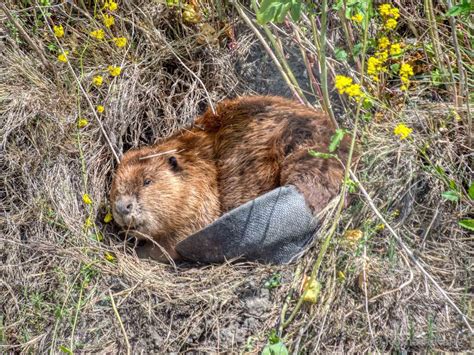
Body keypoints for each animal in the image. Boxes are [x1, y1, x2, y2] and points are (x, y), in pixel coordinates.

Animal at [109, 96, 350, 262]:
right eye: (115, 187)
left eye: (147, 181)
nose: (122, 207)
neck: (197, 161)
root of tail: (299, 197)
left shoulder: (201, 197)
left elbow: (175, 239)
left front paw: (138, 250)